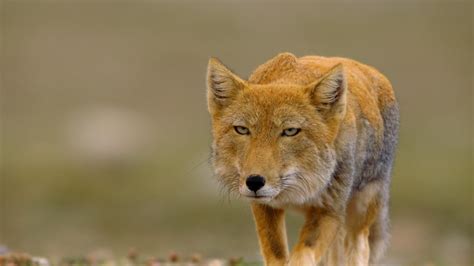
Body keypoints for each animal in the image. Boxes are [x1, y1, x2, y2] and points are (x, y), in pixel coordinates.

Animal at [206, 52, 398, 266]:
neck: (295, 193)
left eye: (290, 131)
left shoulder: (329, 210)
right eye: (242, 129)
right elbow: (277, 255)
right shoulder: (264, 206)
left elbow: (302, 256)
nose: (254, 182)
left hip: (358, 215)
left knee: (359, 246)